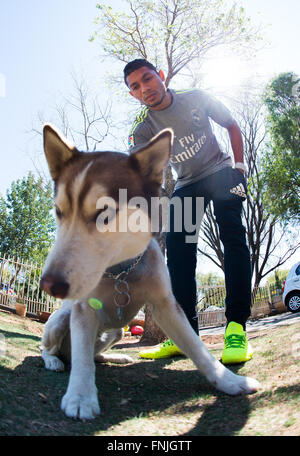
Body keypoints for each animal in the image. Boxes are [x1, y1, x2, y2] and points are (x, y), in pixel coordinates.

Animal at [40, 124, 260, 420]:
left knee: (93, 353)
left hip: (116, 332)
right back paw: (54, 361)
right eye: (59, 211)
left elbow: (198, 347)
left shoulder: (165, 305)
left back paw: (114, 357)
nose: (48, 284)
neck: (121, 272)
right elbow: (83, 361)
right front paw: (80, 396)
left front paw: (229, 380)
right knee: (52, 349)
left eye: (104, 213)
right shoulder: (83, 309)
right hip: (60, 320)